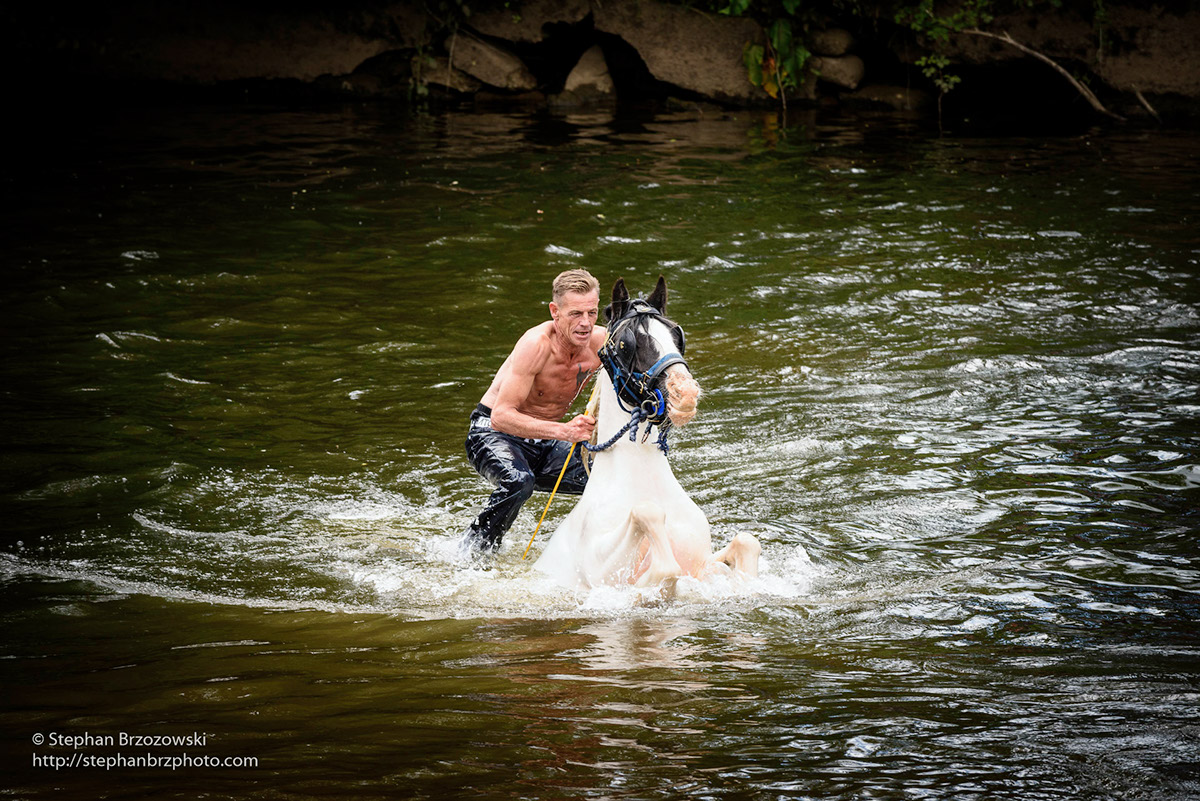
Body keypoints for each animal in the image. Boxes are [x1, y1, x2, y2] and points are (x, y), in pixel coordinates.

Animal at [535, 278, 758, 592]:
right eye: (627, 344)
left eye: (677, 335)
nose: (685, 393)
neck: (644, 481)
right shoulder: (603, 574)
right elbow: (655, 535)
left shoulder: (701, 561)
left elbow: (746, 542)